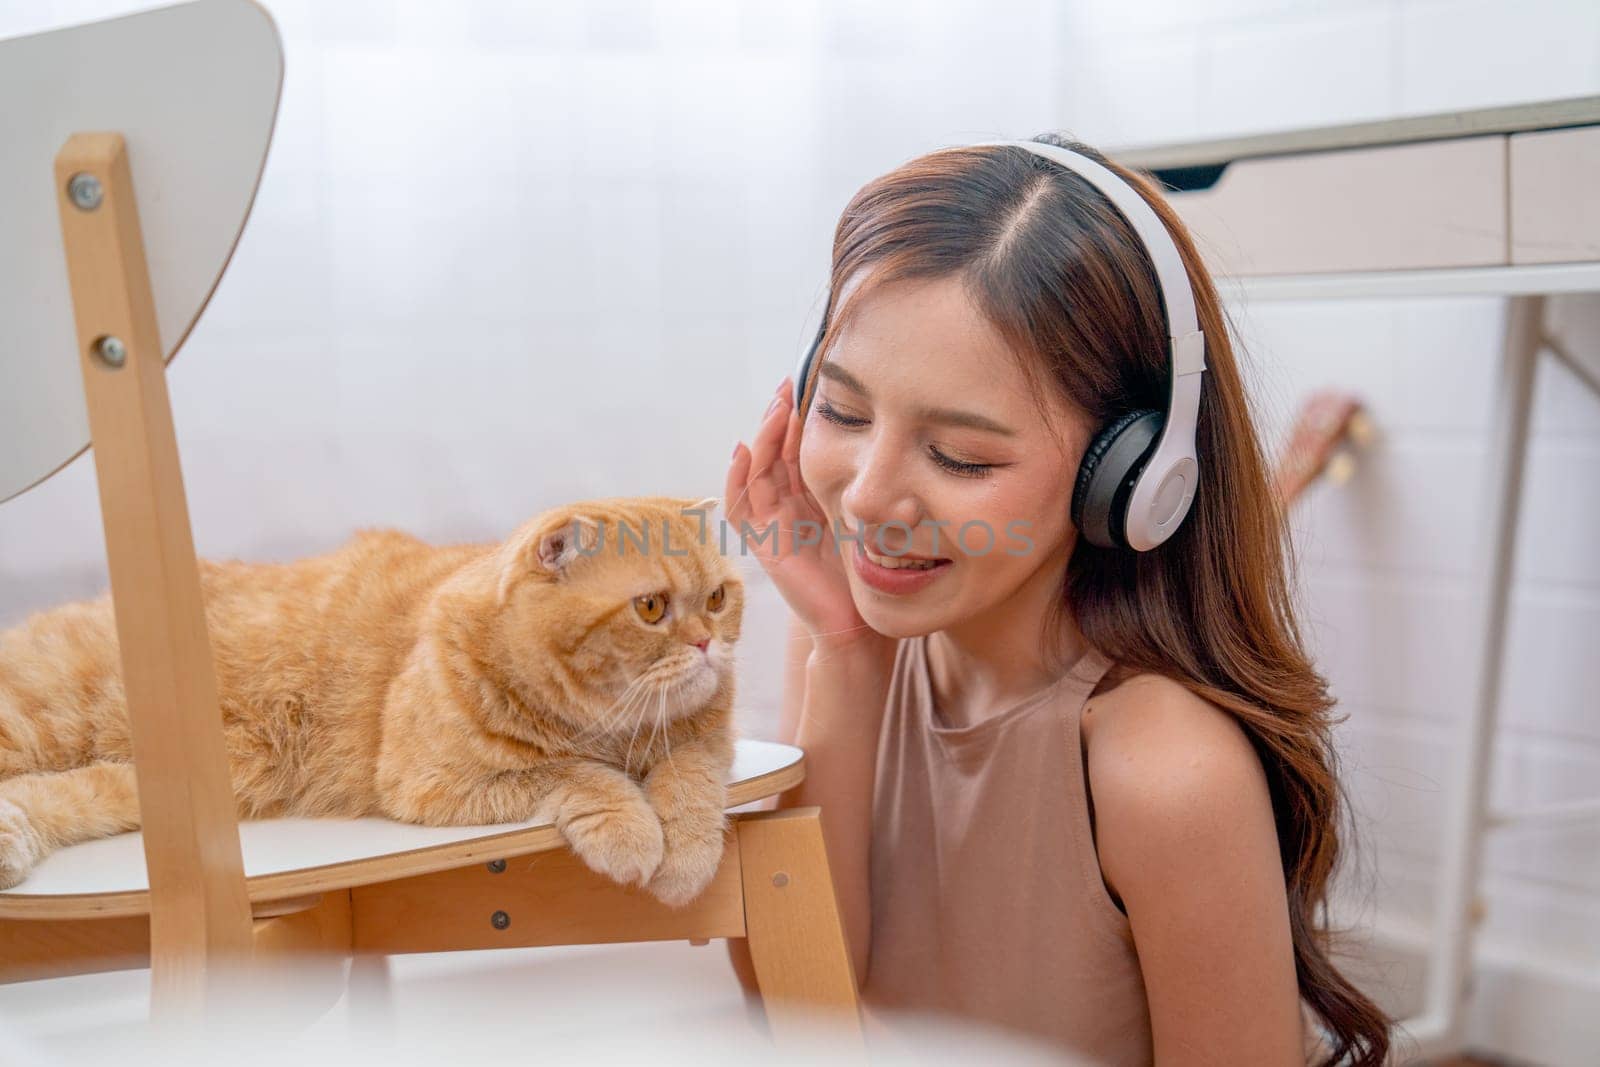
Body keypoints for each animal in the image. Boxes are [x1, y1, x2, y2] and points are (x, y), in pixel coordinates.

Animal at [0, 495, 745, 908]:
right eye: (650, 608)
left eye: (717, 597)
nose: (708, 642)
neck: (614, 729)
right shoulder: (432, 783)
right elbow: (579, 774)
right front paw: (631, 830)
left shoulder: (708, 746)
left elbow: (690, 780)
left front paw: (684, 861)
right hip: (43, 724)